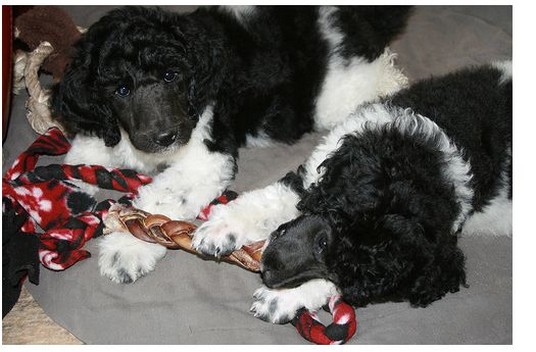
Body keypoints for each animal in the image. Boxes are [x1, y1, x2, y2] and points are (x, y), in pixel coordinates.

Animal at [53, 4, 410, 284]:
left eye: (171, 75)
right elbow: (80, 159)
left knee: (381, 75)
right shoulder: (102, 129)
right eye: (120, 90)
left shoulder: (205, 154)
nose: (166, 137)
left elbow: (159, 200)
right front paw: (59, 199)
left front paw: (127, 247)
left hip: (336, 91)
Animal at [196, 62, 510, 324]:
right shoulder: (319, 176)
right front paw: (221, 228)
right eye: (324, 239)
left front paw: (282, 298)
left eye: (344, 273)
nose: (269, 270)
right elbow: (273, 200)